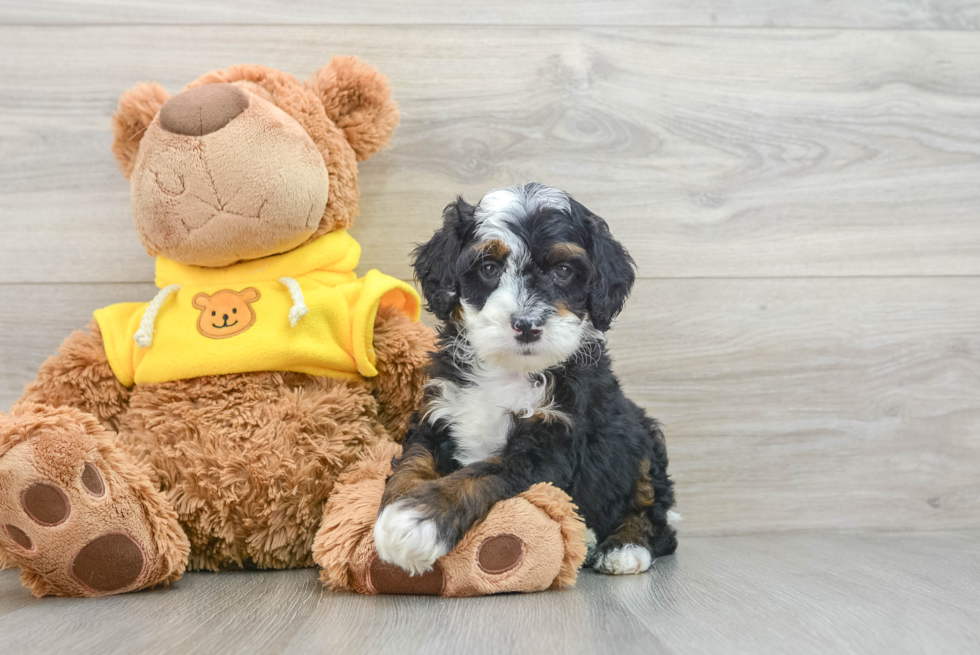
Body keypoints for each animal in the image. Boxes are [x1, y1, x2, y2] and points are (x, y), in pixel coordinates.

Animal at [372, 182, 676, 576]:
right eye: (488, 267)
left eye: (563, 270)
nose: (527, 324)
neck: (508, 370)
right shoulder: (436, 416)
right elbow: (412, 463)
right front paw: (396, 509)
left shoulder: (550, 445)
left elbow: (483, 472)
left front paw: (417, 519)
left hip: (643, 440)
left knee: (653, 511)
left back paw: (624, 547)